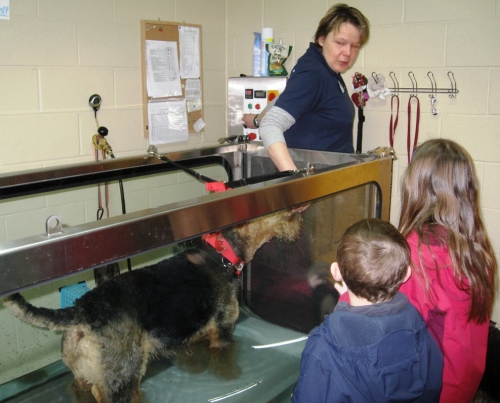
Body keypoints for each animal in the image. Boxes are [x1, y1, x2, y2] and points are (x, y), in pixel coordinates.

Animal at [2, 210, 300, 403]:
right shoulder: (224, 329)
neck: (222, 254)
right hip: (124, 375)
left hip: (81, 373)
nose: (297, 214)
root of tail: (83, 311)